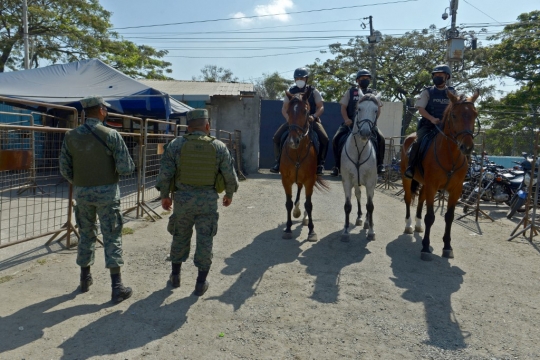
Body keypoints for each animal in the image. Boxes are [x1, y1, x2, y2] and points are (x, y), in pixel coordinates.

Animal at [280, 88, 332, 242]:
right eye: (288, 111)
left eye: (305, 111)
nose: (293, 141)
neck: (297, 152)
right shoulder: (286, 180)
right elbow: (288, 203)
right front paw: (288, 228)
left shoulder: (310, 180)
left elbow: (309, 205)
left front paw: (311, 231)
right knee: (298, 191)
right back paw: (297, 211)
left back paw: (304, 217)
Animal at [340, 90, 382, 242]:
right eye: (359, 109)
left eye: (375, 110)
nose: (365, 133)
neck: (359, 151)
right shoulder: (347, 180)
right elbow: (347, 206)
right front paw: (345, 231)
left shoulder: (370, 181)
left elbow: (370, 206)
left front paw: (371, 231)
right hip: (355, 181)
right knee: (358, 194)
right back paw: (359, 218)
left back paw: (367, 222)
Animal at [398, 89, 478, 260]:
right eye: (454, 115)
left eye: (475, 114)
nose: (467, 147)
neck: (450, 156)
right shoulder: (432, 186)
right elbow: (430, 217)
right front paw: (425, 247)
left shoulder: (455, 190)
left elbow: (449, 217)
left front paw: (447, 246)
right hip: (406, 177)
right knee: (408, 198)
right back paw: (409, 225)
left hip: (425, 183)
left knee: (420, 198)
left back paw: (418, 225)